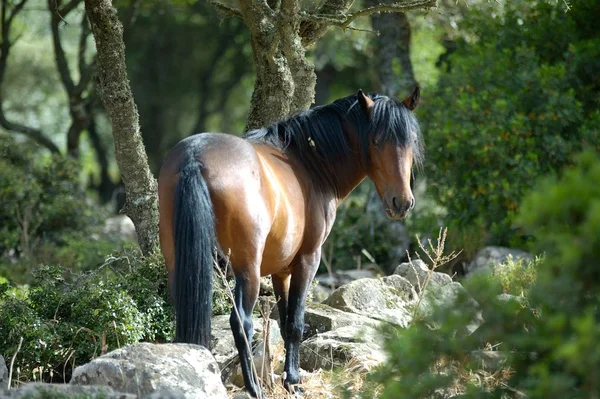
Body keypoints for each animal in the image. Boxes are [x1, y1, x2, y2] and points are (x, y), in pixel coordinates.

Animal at [157, 87, 424, 396]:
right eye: (376, 140)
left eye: (411, 140)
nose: (401, 203)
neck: (308, 162)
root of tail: (194, 158)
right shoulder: (308, 260)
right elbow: (296, 322)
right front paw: (293, 382)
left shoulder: (281, 270)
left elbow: (284, 322)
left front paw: (288, 377)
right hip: (247, 270)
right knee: (242, 322)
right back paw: (254, 388)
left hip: (179, 261)